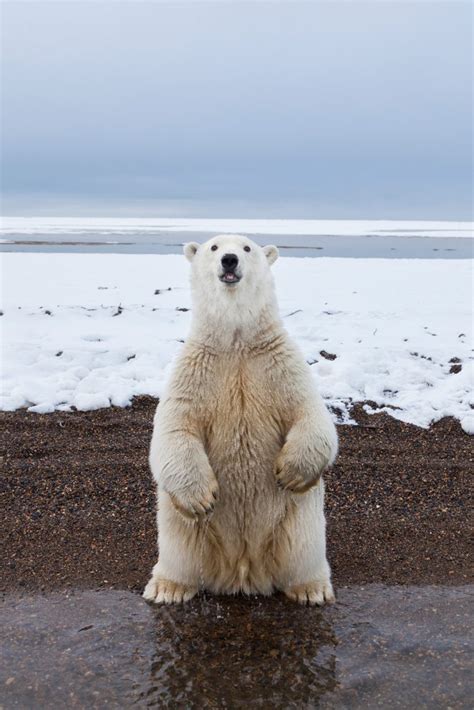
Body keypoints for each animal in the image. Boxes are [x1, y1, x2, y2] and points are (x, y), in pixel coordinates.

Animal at [143, 234, 338, 608]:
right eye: (214, 247)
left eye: (247, 248)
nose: (230, 260)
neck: (236, 343)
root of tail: (243, 571)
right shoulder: (196, 370)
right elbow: (176, 427)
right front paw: (202, 497)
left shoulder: (280, 366)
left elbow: (310, 413)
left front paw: (291, 472)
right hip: (184, 529)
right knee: (179, 548)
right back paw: (167, 588)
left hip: (295, 519)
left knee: (303, 548)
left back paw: (311, 590)